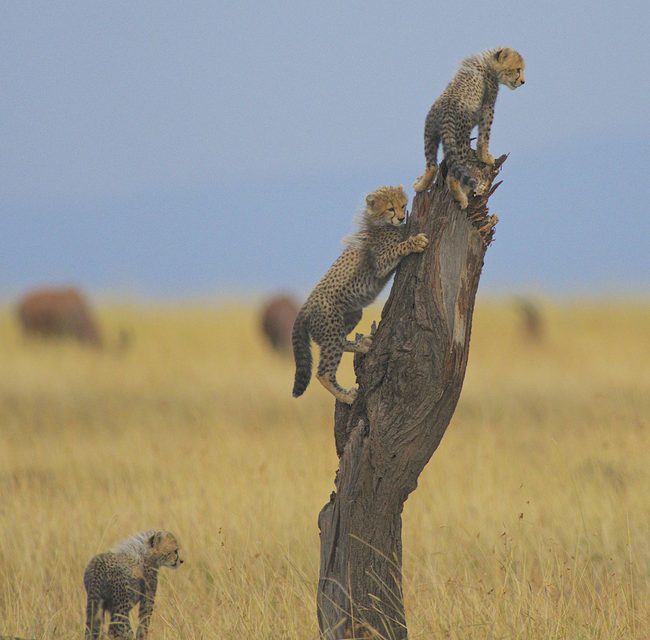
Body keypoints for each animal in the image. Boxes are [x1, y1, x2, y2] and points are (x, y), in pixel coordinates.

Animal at [292, 185, 429, 404]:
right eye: (390, 208)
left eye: (403, 205)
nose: (401, 218)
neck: (380, 223)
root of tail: (304, 308)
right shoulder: (379, 263)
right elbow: (397, 248)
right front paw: (414, 242)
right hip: (331, 326)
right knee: (323, 371)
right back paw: (346, 396)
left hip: (351, 315)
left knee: (339, 341)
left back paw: (362, 345)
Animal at [413, 47, 525, 209]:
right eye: (517, 70)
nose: (523, 81)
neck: (488, 62)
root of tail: (446, 108)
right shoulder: (487, 107)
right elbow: (484, 135)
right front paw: (486, 157)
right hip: (461, 142)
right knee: (452, 176)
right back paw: (461, 198)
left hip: (430, 135)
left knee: (432, 165)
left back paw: (420, 186)